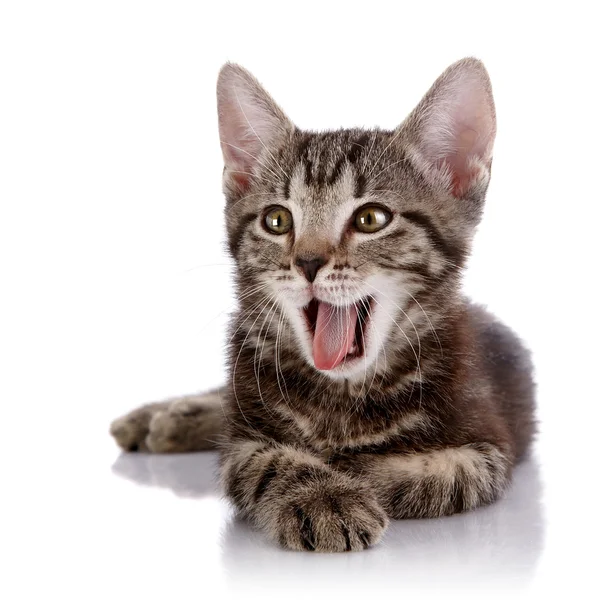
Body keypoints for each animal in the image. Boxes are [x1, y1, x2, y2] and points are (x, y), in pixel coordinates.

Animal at [110, 58, 536, 552]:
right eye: (277, 220)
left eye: (371, 218)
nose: (308, 262)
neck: (343, 396)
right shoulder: (244, 440)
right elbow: (265, 460)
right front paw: (323, 497)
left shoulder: (487, 449)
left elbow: (431, 473)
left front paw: (348, 474)